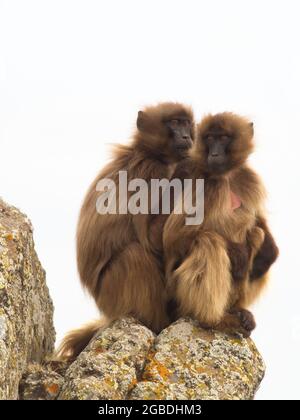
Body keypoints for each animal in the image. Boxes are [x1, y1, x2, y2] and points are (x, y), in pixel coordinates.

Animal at [56, 102, 196, 360]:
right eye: (174, 122)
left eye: (186, 123)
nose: (186, 137)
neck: (147, 152)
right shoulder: (151, 172)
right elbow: (152, 240)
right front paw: (188, 167)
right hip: (113, 293)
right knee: (134, 255)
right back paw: (156, 323)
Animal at [164, 113, 278, 336]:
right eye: (209, 138)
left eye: (223, 138)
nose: (214, 154)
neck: (225, 176)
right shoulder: (203, 182)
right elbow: (173, 236)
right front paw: (238, 254)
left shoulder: (248, 178)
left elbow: (257, 221)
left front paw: (268, 253)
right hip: (176, 294)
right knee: (209, 241)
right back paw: (213, 319)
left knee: (256, 234)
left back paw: (238, 311)